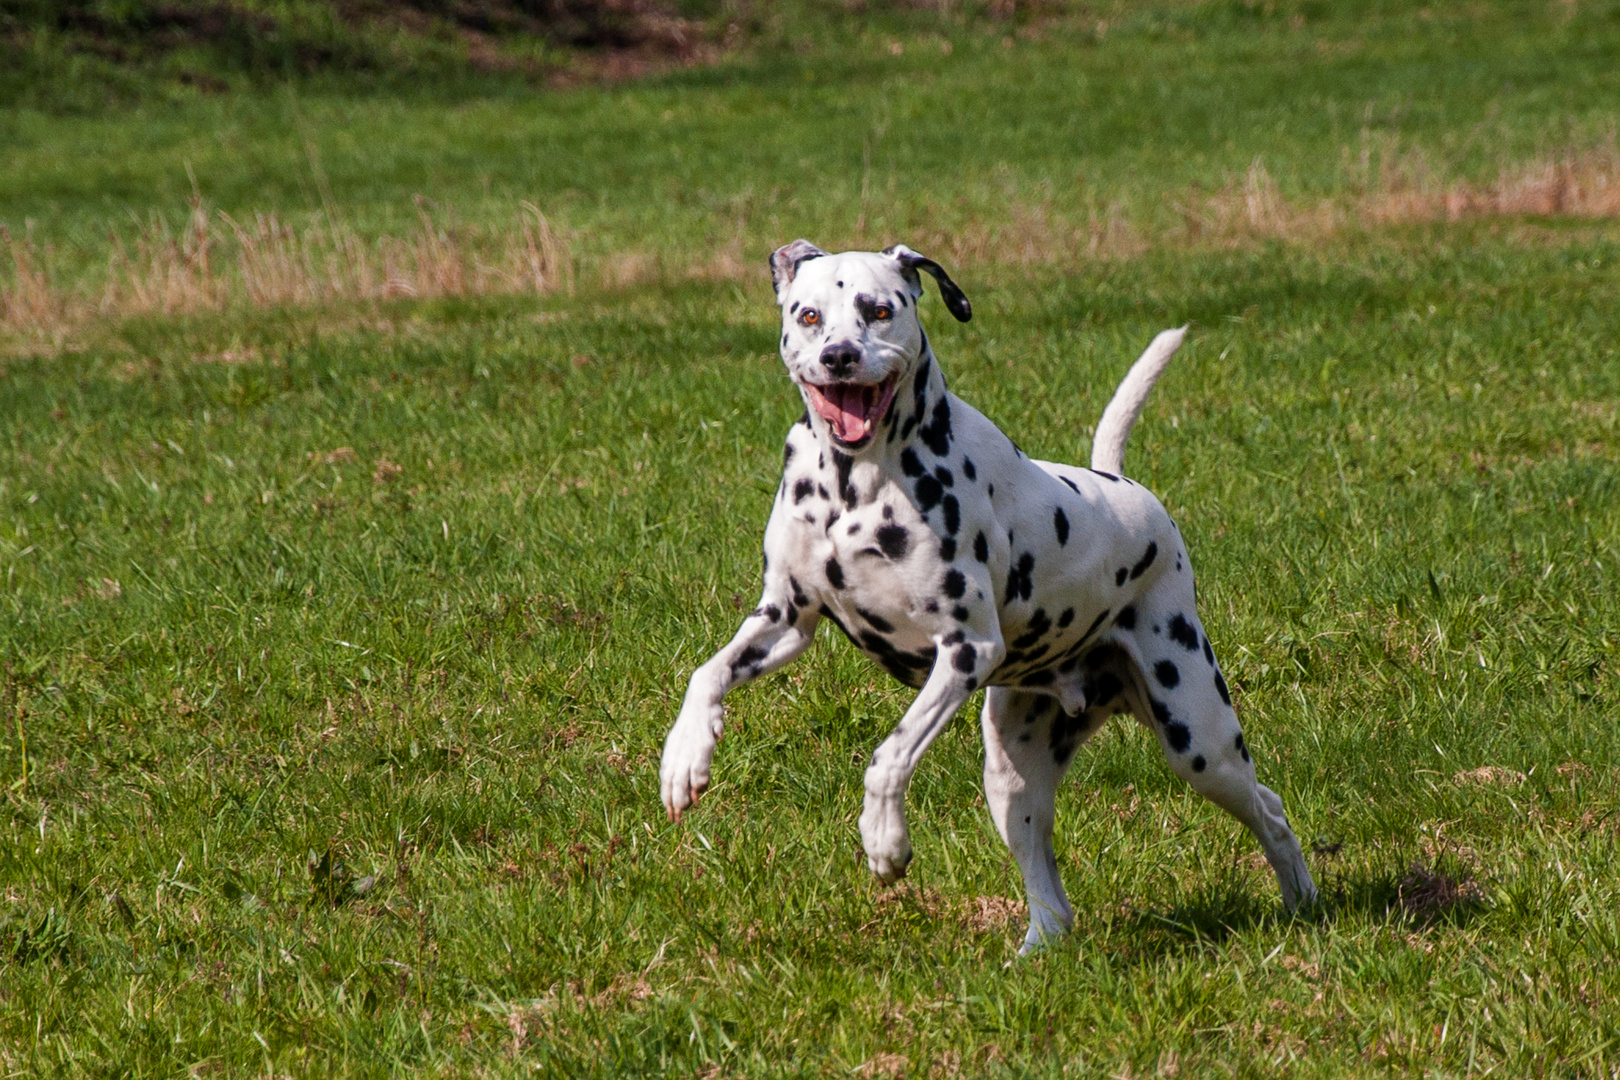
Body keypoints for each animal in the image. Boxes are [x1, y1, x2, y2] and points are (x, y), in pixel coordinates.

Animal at [657, 241, 1315, 952]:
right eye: (809, 315)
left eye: (878, 310)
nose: (839, 356)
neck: (854, 486)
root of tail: (1126, 488)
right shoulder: (784, 618)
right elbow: (706, 673)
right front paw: (685, 757)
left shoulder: (964, 650)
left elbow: (889, 755)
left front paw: (884, 840)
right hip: (1012, 775)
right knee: (1050, 893)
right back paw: (1038, 949)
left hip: (1199, 739)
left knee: (1270, 808)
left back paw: (1302, 900)